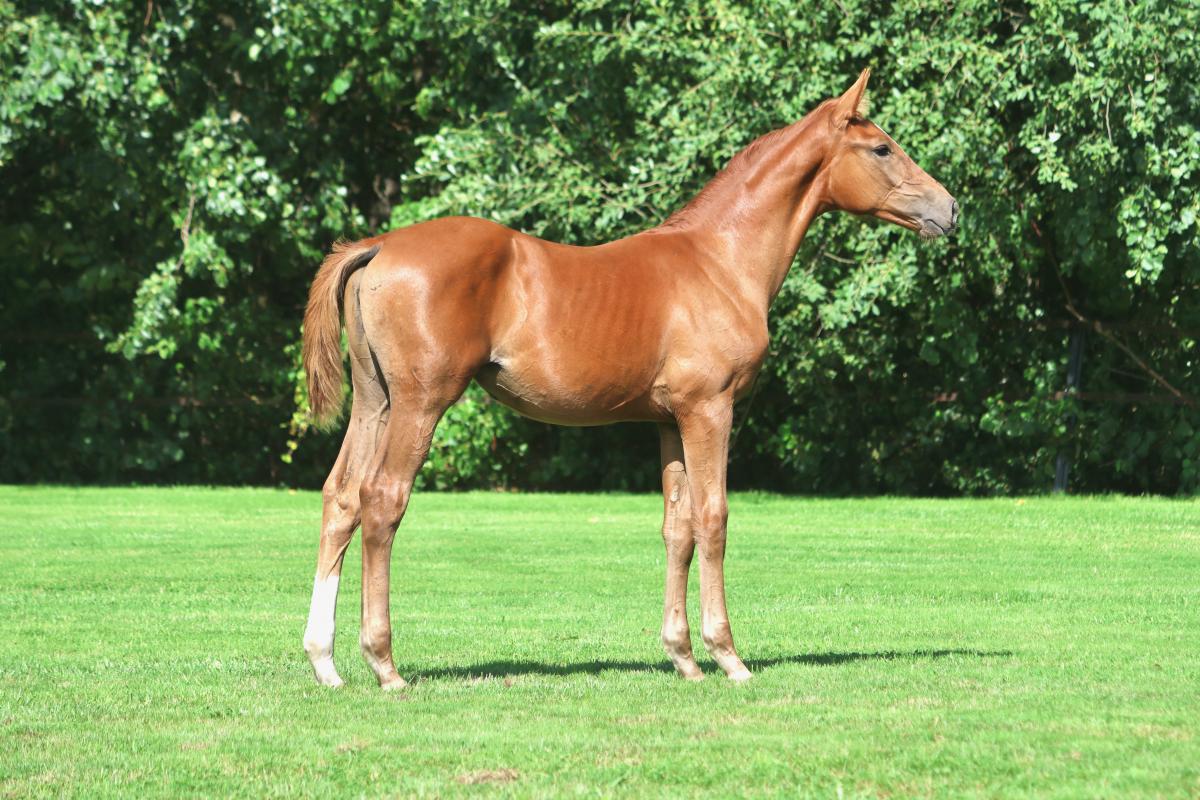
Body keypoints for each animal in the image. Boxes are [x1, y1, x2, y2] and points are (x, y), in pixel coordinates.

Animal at [300, 69, 958, 689]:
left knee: (340, 498)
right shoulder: (710, 410)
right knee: (382, 500)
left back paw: (325, 662)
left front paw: (684, 658)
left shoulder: (669, 420)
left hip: (376, 402)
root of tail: (379, 245)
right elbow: (714, 519)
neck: (721, 262)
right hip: (421, 402)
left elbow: (678, 528)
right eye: (881, 148)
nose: (949, 210)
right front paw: (728, 656)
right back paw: (384, 664)